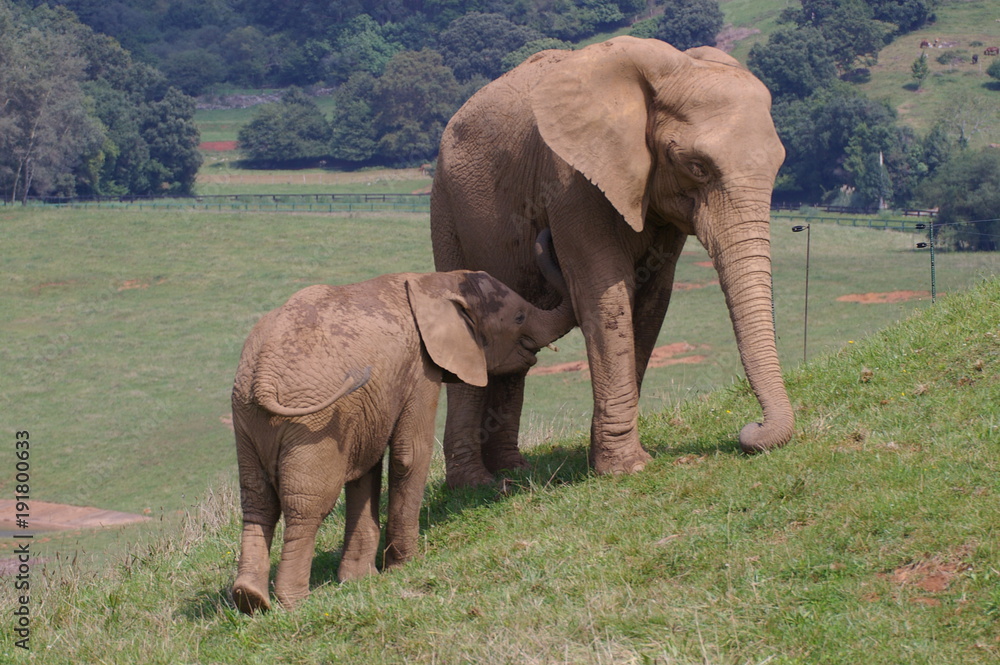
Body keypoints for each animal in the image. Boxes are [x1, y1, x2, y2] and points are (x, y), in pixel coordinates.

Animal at [228, 264, 572, 612]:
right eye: (518, 317)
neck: (431, 283)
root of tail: (264, 375)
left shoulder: (371, 402)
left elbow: (365, 471)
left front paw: (358, 580)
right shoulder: (419, 368)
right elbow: (410, 455)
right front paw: (405, 566)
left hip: (247, 417)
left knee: (257, 501)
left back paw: (249, 598)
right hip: (311, 424)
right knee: (307, 506)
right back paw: (293, 603)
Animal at [434, 36, 792, 488]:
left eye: (779, 165)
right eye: (697, 166)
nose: (751, 431)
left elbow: (652, 297)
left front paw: (605, 459)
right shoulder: (571, 181)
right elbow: (604, 290)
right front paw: (628, 468)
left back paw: (512, 472)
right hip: (446, 206)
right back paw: (474, 485)